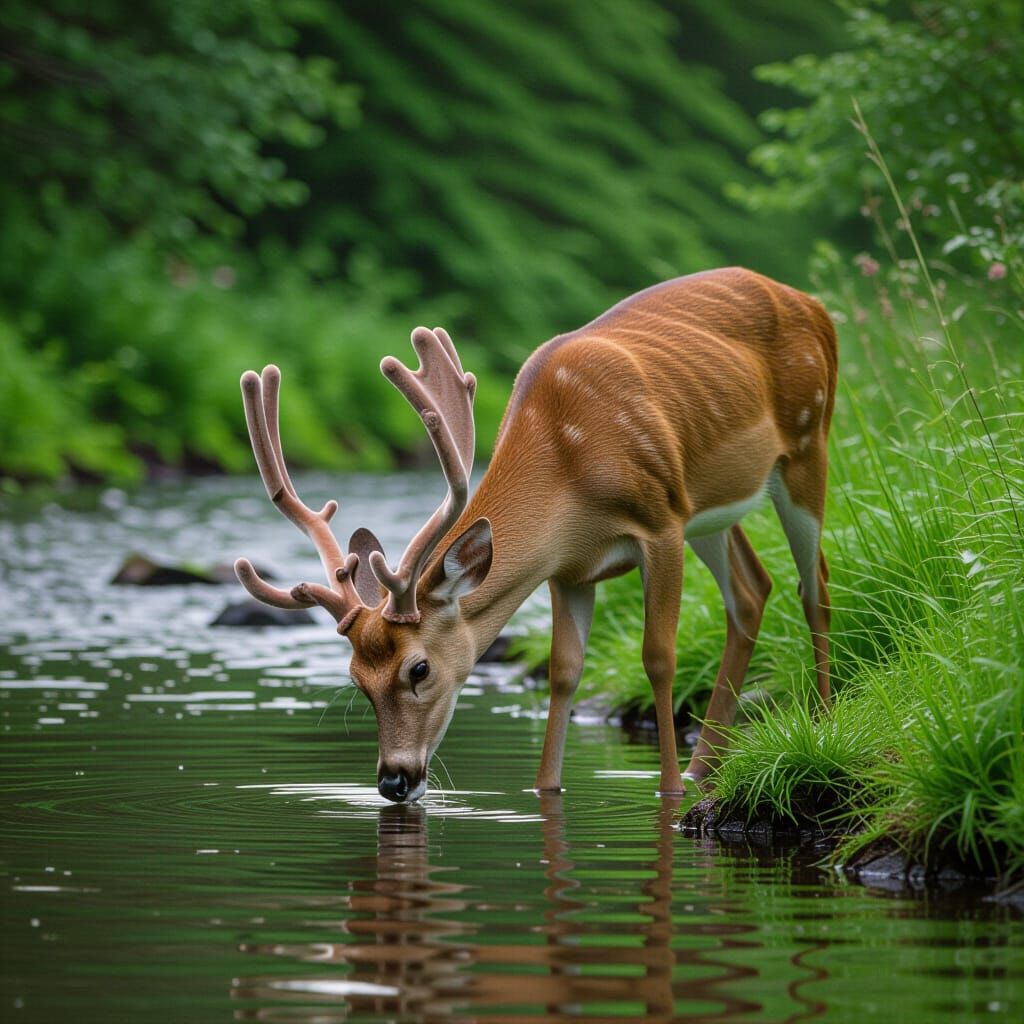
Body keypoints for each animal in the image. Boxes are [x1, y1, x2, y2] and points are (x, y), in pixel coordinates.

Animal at [235, 267, 837, 804]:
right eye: (358, 679)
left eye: (419, 668)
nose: (392, 782)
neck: (570, 471)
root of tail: (813, 304)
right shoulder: (568, 568)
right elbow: (563, 673)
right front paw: (546, 788)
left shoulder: (660, 521)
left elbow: (658, 657)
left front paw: (667, 791)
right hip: (711, 510)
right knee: (752, 590)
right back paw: (703, 767)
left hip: (806, 445)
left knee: (815, 586)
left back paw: (821, 723)